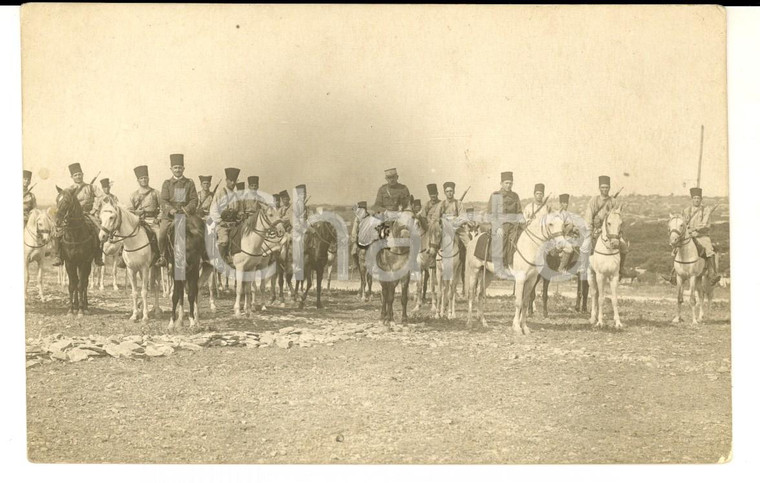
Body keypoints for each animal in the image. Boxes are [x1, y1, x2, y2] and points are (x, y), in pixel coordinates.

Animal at [53, 186, 100, 318]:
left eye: (67, 201)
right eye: (57, 200)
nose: (57, 221)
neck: (75, 235)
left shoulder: (84, 263)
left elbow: (80, 286)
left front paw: (80, 311)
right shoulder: (70, 263)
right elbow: (72, 285)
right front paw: (71, 309)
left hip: (87, 264)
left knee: (84, 284)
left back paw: (85, 306)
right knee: (77, 282)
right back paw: (76, 304)